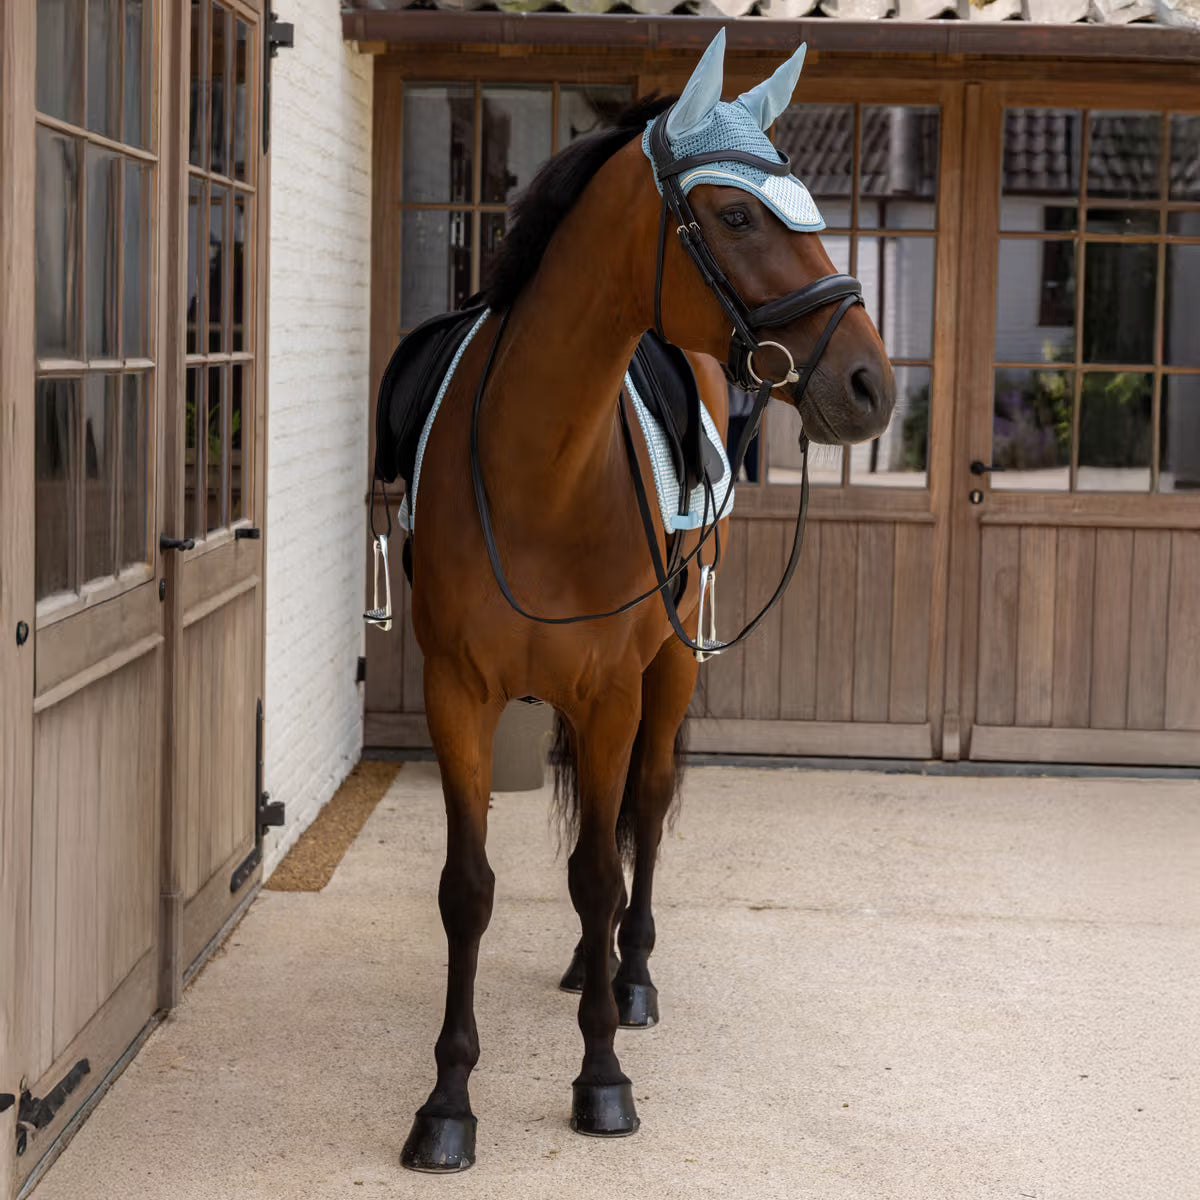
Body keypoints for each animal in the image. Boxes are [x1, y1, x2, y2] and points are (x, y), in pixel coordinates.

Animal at [396, 30, 896, 1171]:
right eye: (738, 216)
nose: (871, 387)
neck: (539, 469)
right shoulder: (458, 696)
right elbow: (466, 888)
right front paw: (447, 1101)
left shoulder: (614, 691)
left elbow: (598, 869)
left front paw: (602, 1079)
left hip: (667, 672)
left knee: (649, 812)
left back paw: (625, 979)